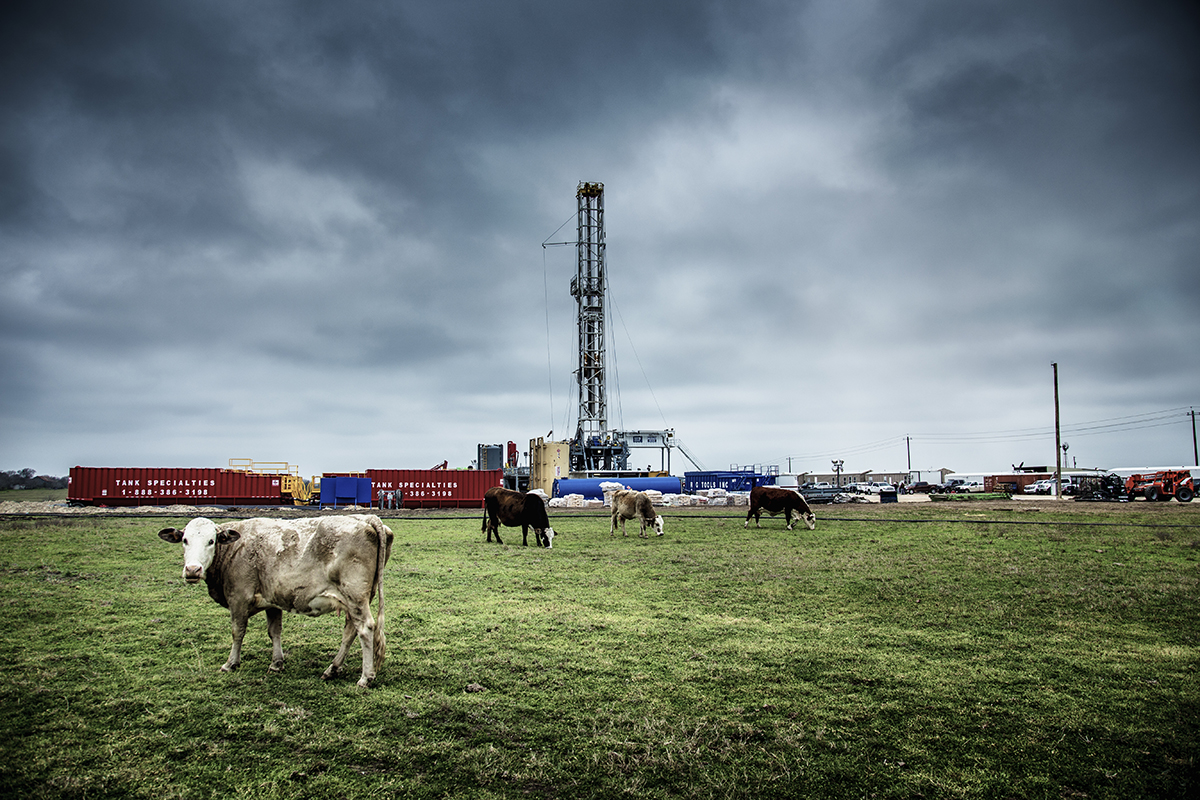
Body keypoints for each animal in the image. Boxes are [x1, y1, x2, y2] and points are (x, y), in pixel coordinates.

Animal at [158, 520, 393, 690]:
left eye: (211, 541)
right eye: (185, 540)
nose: (192, 570)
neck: (234, 549)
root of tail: (367, 519)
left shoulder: (239, 598)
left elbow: (237, 632)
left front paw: (231, 663)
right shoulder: (272, 600)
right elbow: (274, 631)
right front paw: (276, 663)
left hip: (355, 597)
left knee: (365, 630)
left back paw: (365, 677)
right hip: (355, 600)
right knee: (350, 632)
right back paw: (333, 669)